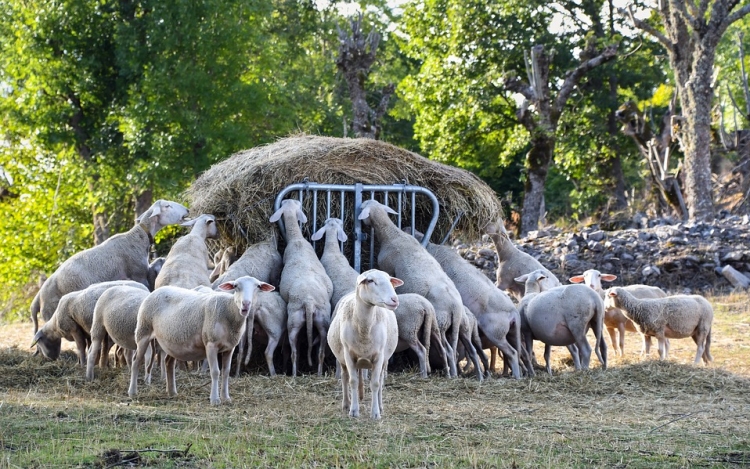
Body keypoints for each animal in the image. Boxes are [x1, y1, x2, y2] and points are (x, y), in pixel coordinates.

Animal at [32, 199, 191, 330]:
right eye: (167, 206)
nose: (187, 210)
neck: (137, 238)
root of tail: (38, 298)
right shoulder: (138, 275)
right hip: (52, 312)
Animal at [129, 276, 276, 404]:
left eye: (258, 287)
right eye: (235, 286)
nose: (246, 304)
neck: (229, 311)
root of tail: (155, 291)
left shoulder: (230, 348)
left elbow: (226, 372)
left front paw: (226, 398)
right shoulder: (211, 344)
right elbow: (215, 372)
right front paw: (215, 400)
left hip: (172, 341)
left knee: (168, 363)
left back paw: (172, 392)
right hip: (143, 330)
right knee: (136, 361)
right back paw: (132, 392)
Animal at [268, 198, 332, 376]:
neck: (297, 240)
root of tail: (309, 301)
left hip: (300, 322)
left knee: (296, 352)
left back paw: (298, 374)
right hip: (318, 321)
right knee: (316, 352)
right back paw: (312, 374)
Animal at [326, 268, 402, 418]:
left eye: (390, 280)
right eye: (371, 281)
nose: (395, 299)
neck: (364, 329)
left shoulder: (379, 356)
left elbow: (376, 384)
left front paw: (375, 413)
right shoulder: (349, 355)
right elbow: (353, 381)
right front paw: (354, 411)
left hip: (384, 360)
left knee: (380, 380)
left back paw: (380, 405)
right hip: (343, 359)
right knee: (345, 377)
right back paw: (346, 404)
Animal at [358, 200, 464, 376]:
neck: (392, 234)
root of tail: (455, 306)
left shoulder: (387, 267)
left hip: (439, 322)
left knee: (445, 349)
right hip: (450, 327)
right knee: (451, 349)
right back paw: (452, 374)